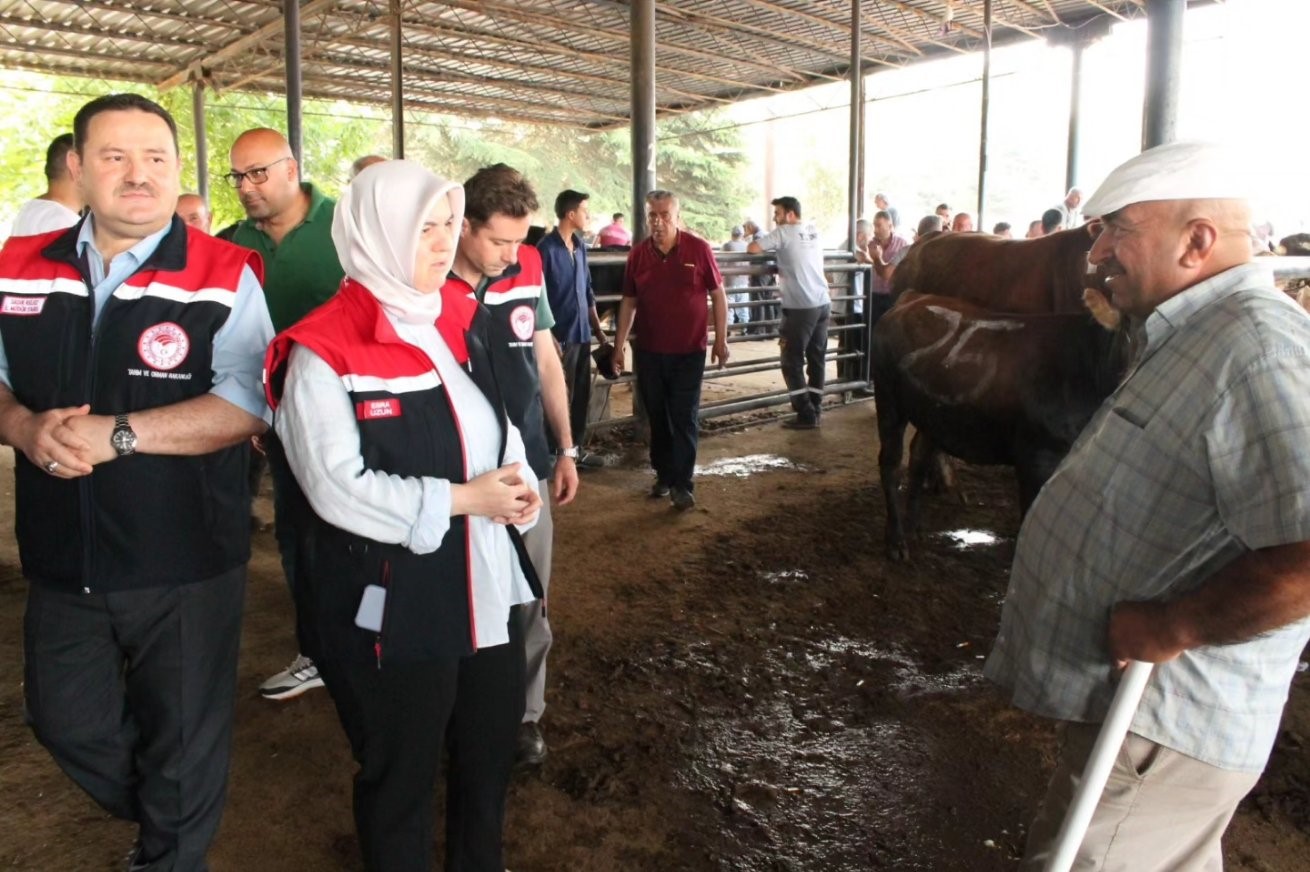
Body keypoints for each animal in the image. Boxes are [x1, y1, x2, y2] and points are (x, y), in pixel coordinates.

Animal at [869, 291, 1126, 560]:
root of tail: (913, 297)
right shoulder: (1036, 456)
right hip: (888, 398)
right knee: (891, 463)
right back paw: (896, 541)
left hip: (930, 414)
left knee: (919, 456)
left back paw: (913, 528)